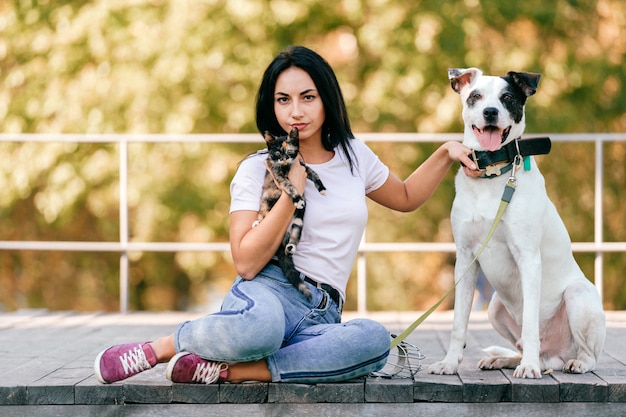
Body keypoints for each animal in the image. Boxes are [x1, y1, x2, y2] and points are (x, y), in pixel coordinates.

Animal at [252, 127, 324, 300]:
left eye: (290, 151)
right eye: (278, 152)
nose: (284, 158)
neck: (287, 167)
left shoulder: (302, 166)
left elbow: (313, 172)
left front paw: (322, 188)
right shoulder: (279, 176)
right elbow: (290, 186)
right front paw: (297, 198)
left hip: (299, 221)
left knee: (295, 235)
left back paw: (291, 246)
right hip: (266, 202)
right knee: (262, 213)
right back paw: (258, 222)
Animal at [426, 67, 604, 376]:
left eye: (507, 97)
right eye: (475, 96)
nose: (490, 112)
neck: (493, 175)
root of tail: (554, 356)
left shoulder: (528, 259)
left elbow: (531, 324)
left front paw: (529, 368)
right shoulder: (465, 259)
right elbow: (459, 323)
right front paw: (449, 363)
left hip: (578, 294)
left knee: (586, 353)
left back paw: (570, 363)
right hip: (495, 307)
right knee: (524, 348)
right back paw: (505, 360)